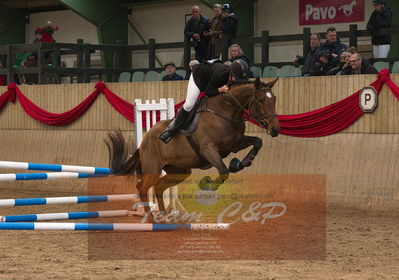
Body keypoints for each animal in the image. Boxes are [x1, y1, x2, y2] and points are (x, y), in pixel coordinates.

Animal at [106, 77, 282, 221]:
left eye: (274, 100)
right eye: (261, 101)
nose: (275, 129)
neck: (226, 112)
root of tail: (145, 140)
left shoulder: (235, 144)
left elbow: (258, 142)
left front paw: (240, 163)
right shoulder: (208, 150)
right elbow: (223, 172)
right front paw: (207, 184)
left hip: (179, 171)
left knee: (158, 187)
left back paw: (164, 216)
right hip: (153, 168)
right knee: (142, 187)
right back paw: (151, 219)